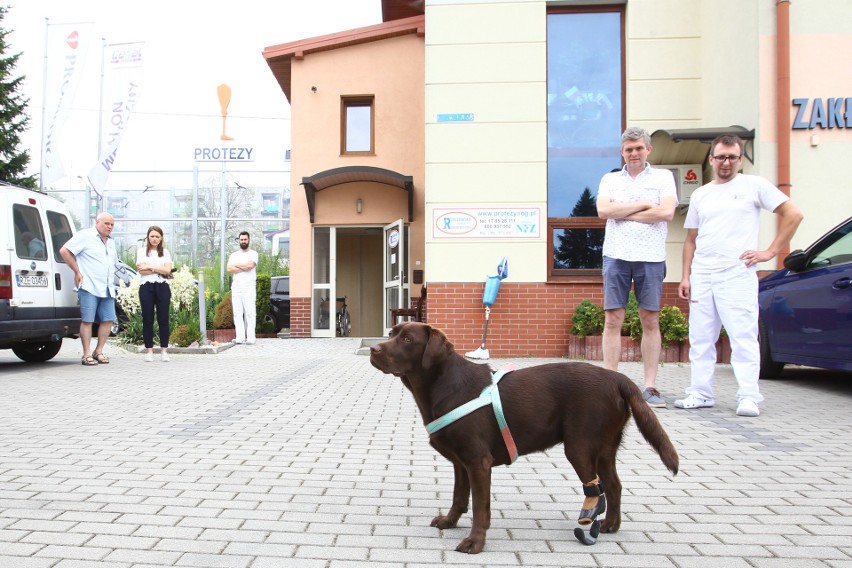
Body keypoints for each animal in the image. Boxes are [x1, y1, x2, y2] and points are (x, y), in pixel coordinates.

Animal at [370, 324, 676, 556]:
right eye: (392, 333)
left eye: (407, 340)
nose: (373, 350)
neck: (441, 384)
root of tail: (619, 378)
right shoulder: (461, 462)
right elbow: (459, 497)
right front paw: (449, 521)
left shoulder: (478, 462)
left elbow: (480, 507)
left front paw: (474, 542)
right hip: (604, 447)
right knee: (614, 485)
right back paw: (611, 524)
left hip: (580, 446)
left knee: (598, 487)